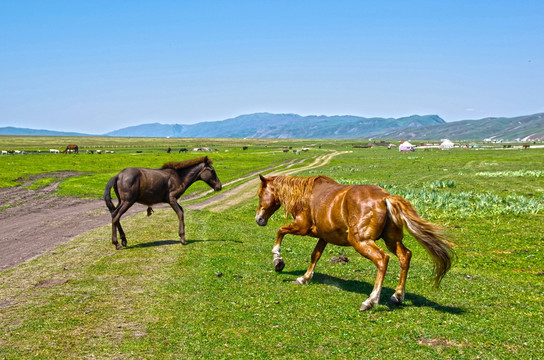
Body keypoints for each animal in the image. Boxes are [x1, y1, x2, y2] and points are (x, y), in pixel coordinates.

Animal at [258, 174, 452, 310]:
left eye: (260, 194)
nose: (259, 219)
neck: (305, 195)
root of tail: (385, 198)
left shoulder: (301, 227)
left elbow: (280, 231)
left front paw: (278, 261)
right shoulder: (323, 237)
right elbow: (315, 255)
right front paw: (304, 278)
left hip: (360, 241)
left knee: (382, 259)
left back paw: (371, 301)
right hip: (392, 240)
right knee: (405, 256)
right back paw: (397, 296)